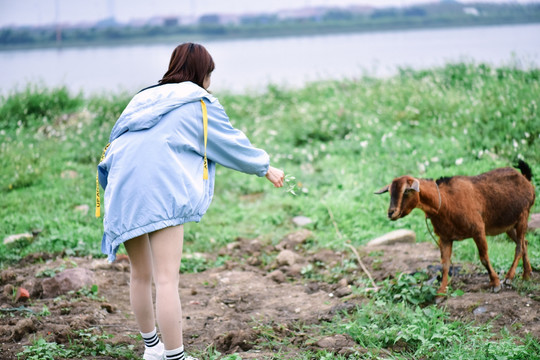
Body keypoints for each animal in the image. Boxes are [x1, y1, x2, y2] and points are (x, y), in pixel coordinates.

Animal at [378, 162, 532, 296]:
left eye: (406, 191)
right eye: (390, 192)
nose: (391, 213)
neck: (444, 202)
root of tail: (525, 179)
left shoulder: (478, 230)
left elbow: (483, 258)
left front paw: (495, 284)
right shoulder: (445, 237)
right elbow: (445, 264)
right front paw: (440, 293)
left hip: (523, 216)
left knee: (519, 246)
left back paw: (509, 277)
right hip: (509, 225)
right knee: (524, 243)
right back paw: (527, 275)